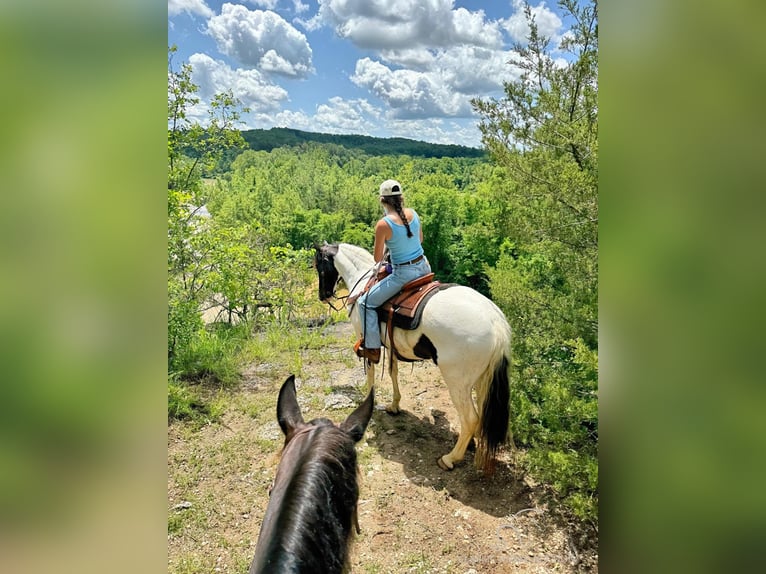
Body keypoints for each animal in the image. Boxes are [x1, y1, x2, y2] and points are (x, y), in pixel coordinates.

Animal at [316, 245, 512, 474]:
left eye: (319, 267)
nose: (323, 296)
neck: (361, 279)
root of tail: (496, 322)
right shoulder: (391, 345)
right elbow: (392, 371)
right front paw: (394, 405)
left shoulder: (364, 338)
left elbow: (371, 374)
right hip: (483, 379)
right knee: (481, 413)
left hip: (458, 382)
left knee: (470, 418)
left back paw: (450, 458)